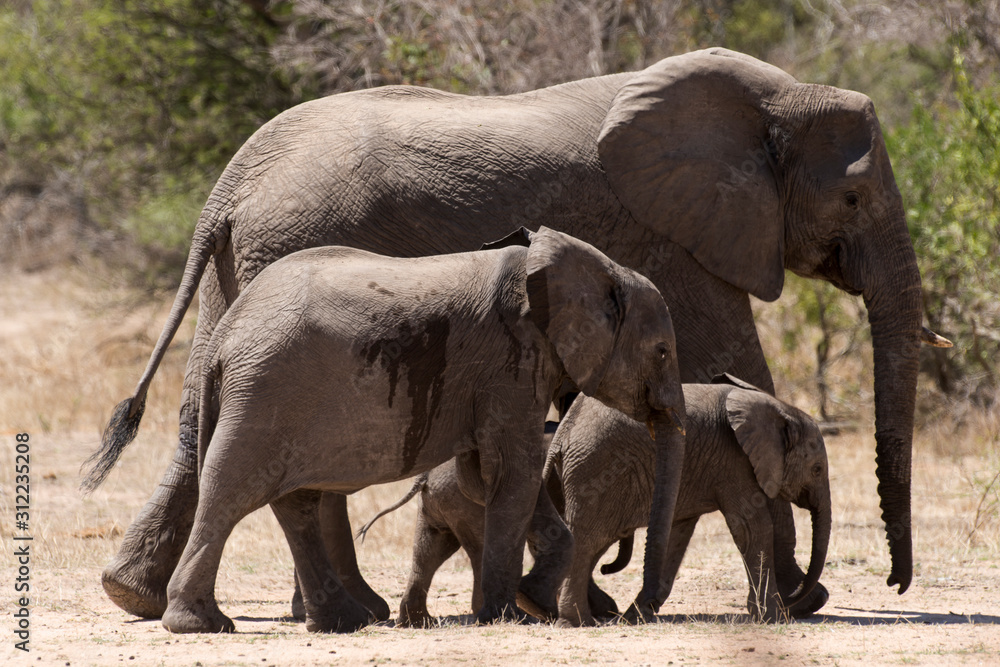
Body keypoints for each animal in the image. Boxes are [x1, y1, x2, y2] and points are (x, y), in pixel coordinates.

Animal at [88, 227, 688, 636]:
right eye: (662, 352)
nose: (634, 612)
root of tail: (225, 333)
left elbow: (487, 473)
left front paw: (527, 603)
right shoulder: (511, 364)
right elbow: (513, 474)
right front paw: (508, 613)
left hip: (273, 399)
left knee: (294, 500)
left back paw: (341, 623)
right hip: (264, 390)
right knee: (231, 490)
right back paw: (202, 625)